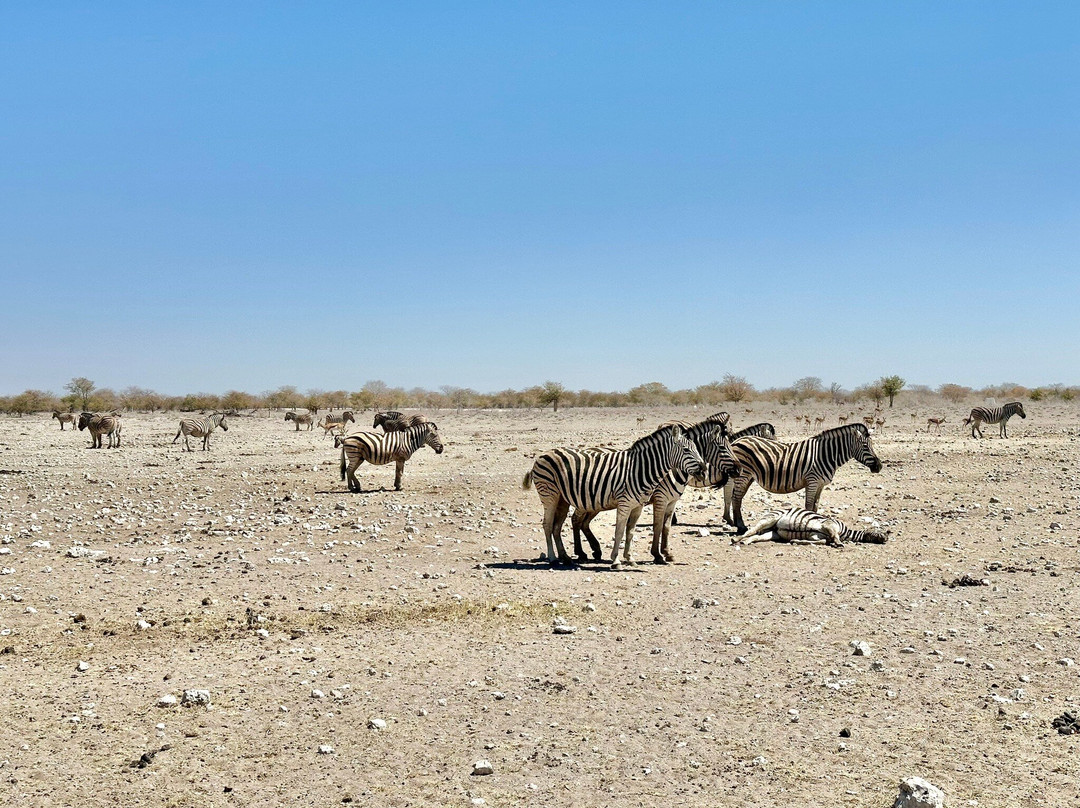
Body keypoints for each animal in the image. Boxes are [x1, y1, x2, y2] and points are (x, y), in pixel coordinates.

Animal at [522, 423, 708, 566]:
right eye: (686, 449)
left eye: (697, 449)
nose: (704, 470)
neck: (640, 469)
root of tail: (541, 455)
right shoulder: (635, 501)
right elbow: (621, 530)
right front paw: (617, 560)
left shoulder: (640, 505)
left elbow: (632, 531)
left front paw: (630, 558)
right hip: (550, 495)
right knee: (548, 524)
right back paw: (554, 558)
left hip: (564, 499)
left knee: (558, 526)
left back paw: (567, 557)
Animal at [570, 419, 738, 566]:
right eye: (722, 448)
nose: (738, 469)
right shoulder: (660, 499)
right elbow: (657, 526)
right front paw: (657, 555)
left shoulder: (672, 501)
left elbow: (667, 527)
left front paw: (667, 553)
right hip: (588, 500)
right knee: (576, 520)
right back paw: (581, 552)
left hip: (595, 503)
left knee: (583, 522)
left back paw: (595, 550)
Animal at [721, 423, 881, 535]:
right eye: (865, 446)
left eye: (872, 445)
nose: (879, 466)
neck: (825, 454)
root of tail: (736, 441)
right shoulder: (812, 481)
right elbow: (809, 506)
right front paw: (809, 524)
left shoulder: (820, 484)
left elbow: (815, 506)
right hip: (743, 475)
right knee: (736, 498)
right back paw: (741, 527)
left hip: (747, 477)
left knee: (737, 498)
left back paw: (738, 524)